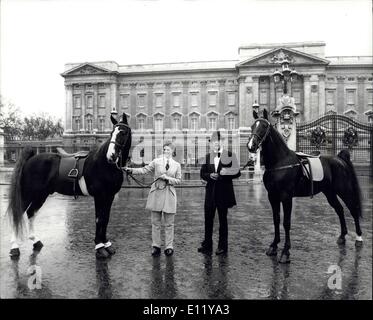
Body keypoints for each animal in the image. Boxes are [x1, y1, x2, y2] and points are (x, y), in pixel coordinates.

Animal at [6, 114, 132, 258]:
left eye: (123, 132)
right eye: (112, 133)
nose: (111, 156)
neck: (103, 164)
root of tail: (30, 159)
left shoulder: (109, 196)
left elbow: (105, 219)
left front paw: (107, 244)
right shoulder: (100, 196)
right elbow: (99, 219)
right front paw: (100, 247)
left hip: (41, 195)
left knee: (30, 212)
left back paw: (35, 240)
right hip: (28, 194)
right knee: (18, 214)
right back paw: (14, 247)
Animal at [247, 109, 360, 264]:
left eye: (264, 126)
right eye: (252, 126)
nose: (251, 146)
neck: (280, 162)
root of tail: (339, 158)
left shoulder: (286, 197)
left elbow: (286, 222)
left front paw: (285, 252)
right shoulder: (272, 196)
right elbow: (276, 220)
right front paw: (274, 246)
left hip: (344, 191)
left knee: (353, 209)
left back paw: (359, 237)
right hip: (329, 192)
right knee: (340, 209)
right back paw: (342, 236)